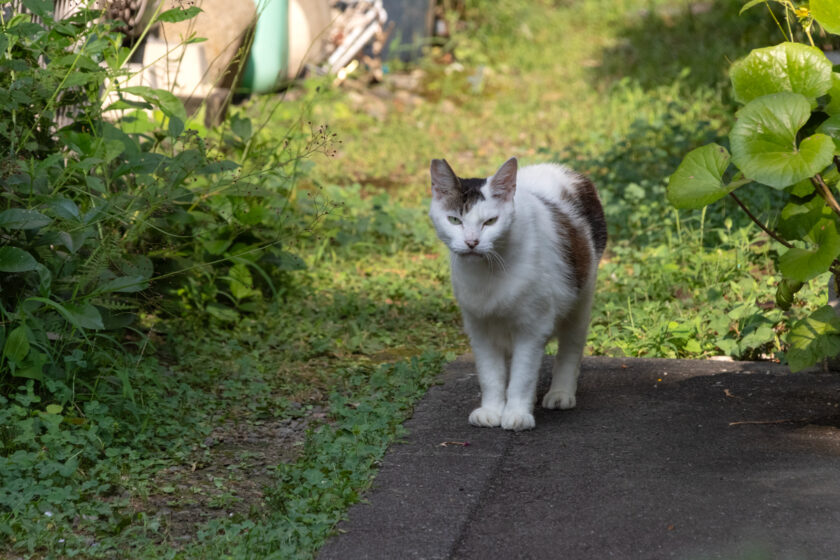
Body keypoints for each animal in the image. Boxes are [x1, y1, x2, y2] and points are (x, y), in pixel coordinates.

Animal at [434, 155, 604, 430]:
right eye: (455, 220)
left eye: (490, 222)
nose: (472, 242)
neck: (488, 272)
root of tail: (559, 167)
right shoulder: (479, 328)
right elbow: (490, 375)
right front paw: (492, 410)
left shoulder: (532, 329)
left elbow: (523, 376)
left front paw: (516, 414)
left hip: (581, 300)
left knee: (570, 347)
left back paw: (560, 393)